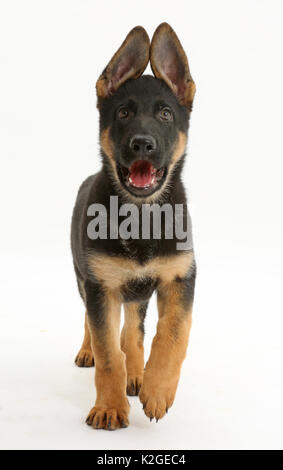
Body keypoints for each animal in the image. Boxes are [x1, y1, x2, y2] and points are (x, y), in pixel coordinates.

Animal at [71, 23, 195, 432]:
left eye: (166, 115)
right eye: (123, 113)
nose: (143, 144)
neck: (140, 216)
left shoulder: (180, 277)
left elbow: (172, 335)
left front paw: (156, 389)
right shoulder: (101, 285)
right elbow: (108, 352)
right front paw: (109, 407)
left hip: (137, 293)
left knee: (134, 331)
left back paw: (138, 373)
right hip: (85, 280)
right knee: (93, 324)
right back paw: (88, 352)